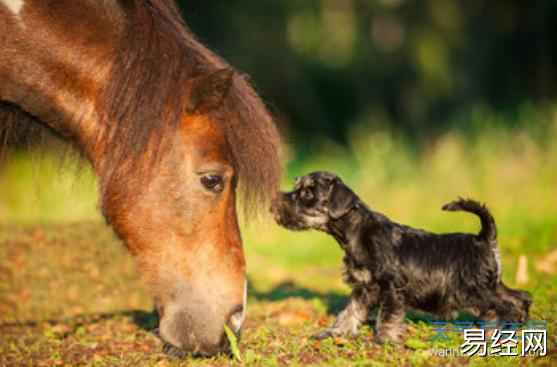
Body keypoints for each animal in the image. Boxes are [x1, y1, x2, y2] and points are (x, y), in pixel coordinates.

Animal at [270, 172, 528, 344]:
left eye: (308, 193)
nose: (273, 203)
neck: (357, 232)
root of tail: (484, 239)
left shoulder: (391, 288)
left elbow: (386, 317)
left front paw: (382, 340)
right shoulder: (363, 288)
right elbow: (350, 312)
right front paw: (334, 333)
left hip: (471, 291)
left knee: (507, 307)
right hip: (490, 285)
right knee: (520, 298)